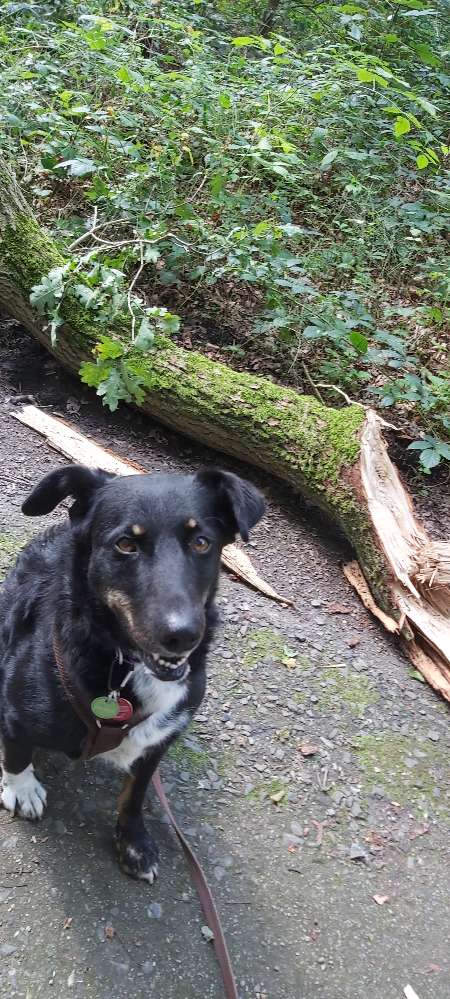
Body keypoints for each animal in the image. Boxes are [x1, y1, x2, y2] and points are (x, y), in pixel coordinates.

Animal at [0, 464, 266, 880]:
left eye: (201, 542)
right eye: (126, 544)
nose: (183, 634)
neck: (126, 666)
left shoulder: (158, 742)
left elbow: (135, 793)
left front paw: (133, 842)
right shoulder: (15, 712)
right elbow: (15, 752)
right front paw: (22, 789)